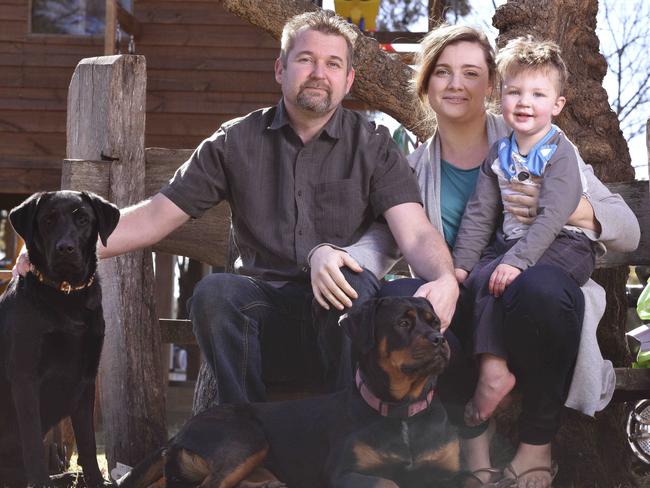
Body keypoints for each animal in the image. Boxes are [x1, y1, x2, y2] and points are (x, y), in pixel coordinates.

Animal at [0, 191, 120, 488]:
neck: (65, 295)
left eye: (83, 219)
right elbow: (32, 439)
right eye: (48, 220)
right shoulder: (25, 377)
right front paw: (40, 482)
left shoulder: (86, 378)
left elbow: (87, 442)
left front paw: (95, 480)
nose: (65, 248)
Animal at [119, 296, 458, 488]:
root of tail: (181, 432)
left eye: (436, 322)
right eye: (403, 323)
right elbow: (388, 482)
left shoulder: (453, 472)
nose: (439, 339)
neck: (404, 412)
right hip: (245, 437)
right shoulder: (343, 473)